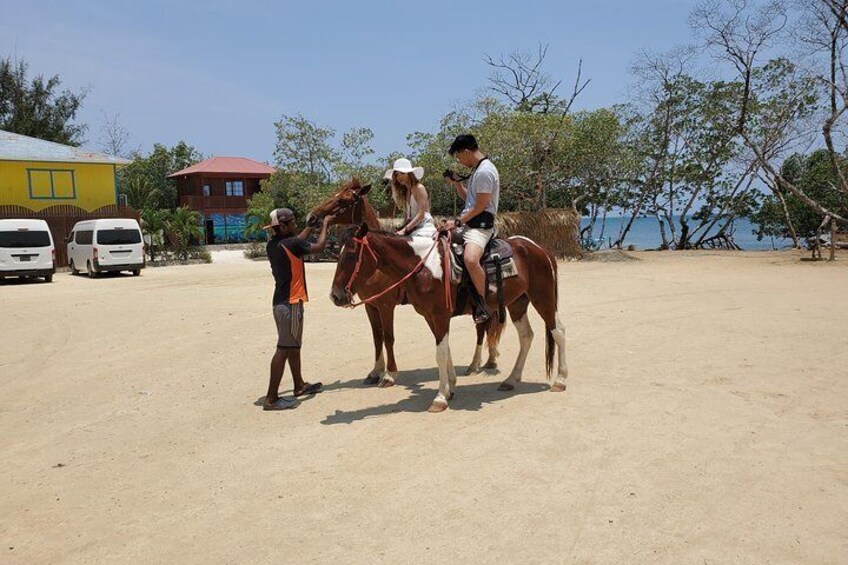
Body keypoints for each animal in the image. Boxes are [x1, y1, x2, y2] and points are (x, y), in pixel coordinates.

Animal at [306, 178, 500, 386]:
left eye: (343, 200)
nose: (311, 217)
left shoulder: (386, 305)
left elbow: (388, 337)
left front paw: (389, 374)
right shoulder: (370, 305)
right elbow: (377, 337)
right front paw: (375, 372)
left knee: (482, 328)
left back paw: (475, 364)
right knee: (486, 327)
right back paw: (487, 361)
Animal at [328, 223, 568, 412]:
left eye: (351, 254)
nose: (336, 296)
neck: (423, 267)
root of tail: (539, 248)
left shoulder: (435, 314)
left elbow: (439, 353)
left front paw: (440, 398)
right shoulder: (430, 316)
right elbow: (445, 350)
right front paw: (450, 387)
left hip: (543, 298)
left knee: (558, 331)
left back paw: (560, 380)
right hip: (517, 303)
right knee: (526, 336)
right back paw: (510, 380)